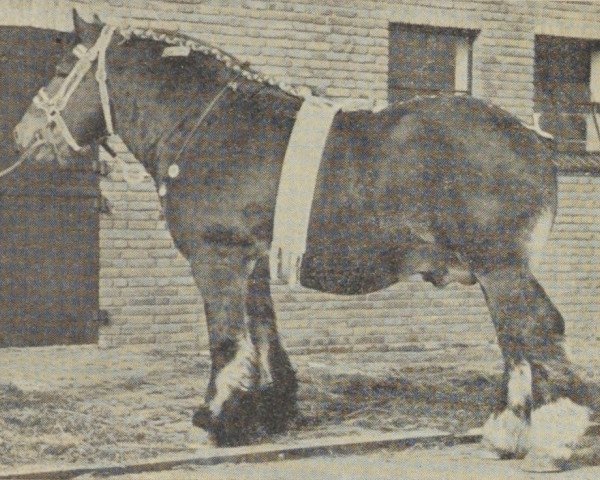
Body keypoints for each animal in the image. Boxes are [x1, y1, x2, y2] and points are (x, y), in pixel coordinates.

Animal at [12, 11, 596, 472]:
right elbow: (262, 334)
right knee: (516, 338)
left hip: (501, 267)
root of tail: (536, 140)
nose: (22, 135)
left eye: (62, 70)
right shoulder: (250, 261)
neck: (207, 127)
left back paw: (553, 441)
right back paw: (506, 433)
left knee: (536, 329)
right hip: (499, 272)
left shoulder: (216, 257)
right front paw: (266, 412)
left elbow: (226, 341)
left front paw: (212, 420)